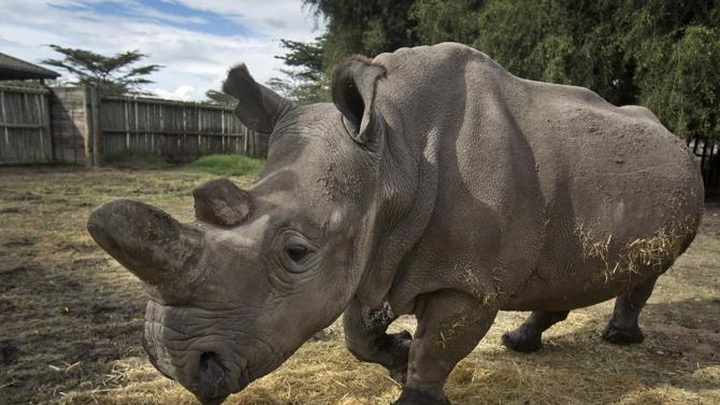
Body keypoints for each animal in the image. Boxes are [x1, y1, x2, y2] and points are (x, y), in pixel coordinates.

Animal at [87, 43, 703, 405]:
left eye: (296, 253)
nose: (175, 365)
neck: (394, 154)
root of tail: (674, 135)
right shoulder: (372, 248)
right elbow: (358, 334)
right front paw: (396, 355)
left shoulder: (467, 279)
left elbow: (439, 348)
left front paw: (414, 385)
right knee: (560, 271)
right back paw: (520, 343)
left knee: (648, 269)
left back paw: (617, 338)